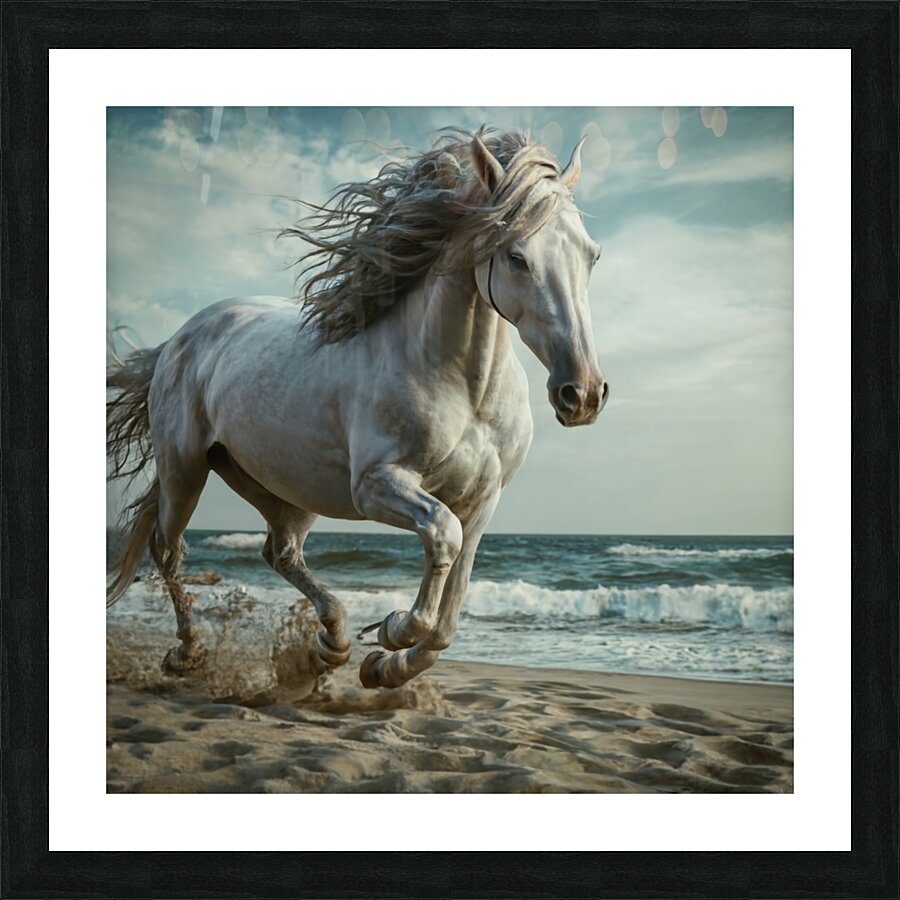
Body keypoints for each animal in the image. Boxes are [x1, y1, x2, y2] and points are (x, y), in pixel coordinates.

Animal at [107, 128, 608, 690]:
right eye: (517, 256)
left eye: (592, 255)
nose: (583, 393)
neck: (465, 387)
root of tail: (179, 337)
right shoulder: (375, 485)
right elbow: (443, 536)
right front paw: (393, 630)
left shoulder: (483, 500)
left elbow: (450, 615)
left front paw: (386, 667)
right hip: (185, 469)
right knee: (168, 550)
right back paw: (189, 654)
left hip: (280, 484)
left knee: (280, 552)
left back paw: (332, 644)